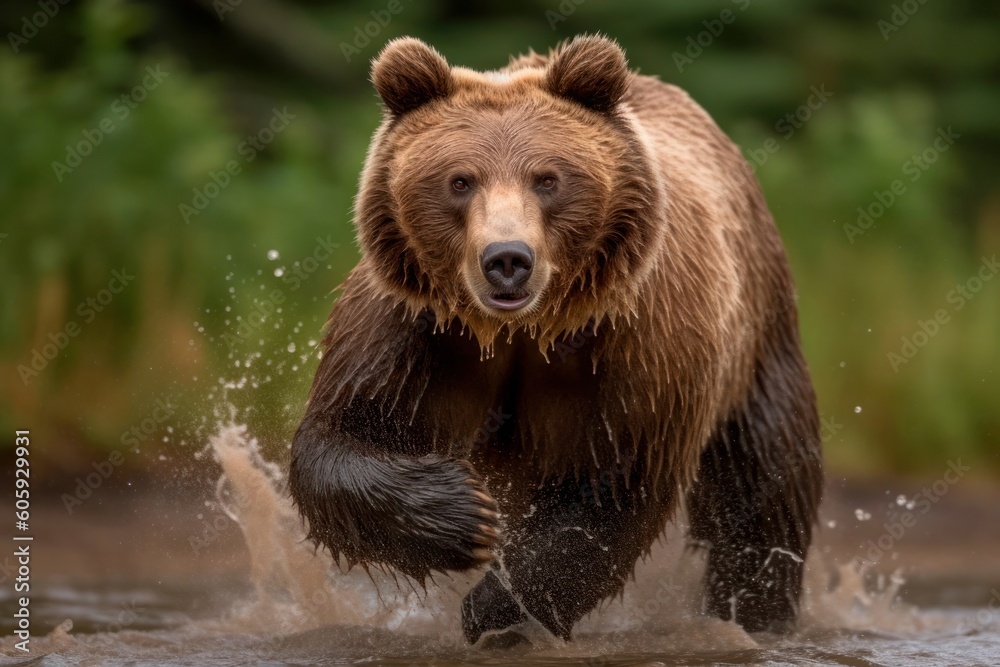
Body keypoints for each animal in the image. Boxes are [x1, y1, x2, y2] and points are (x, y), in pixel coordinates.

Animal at [290, 34, 820, 644]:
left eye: (547, 179)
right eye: (459, 180)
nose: (507, 260)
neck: (521, 328)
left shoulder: (637, 342)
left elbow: (614, 489)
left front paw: (496, 608)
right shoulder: (416, 328)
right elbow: (340, 437)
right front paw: (466, 515)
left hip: (758, 344)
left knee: (763, 492)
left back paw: (757, 612)